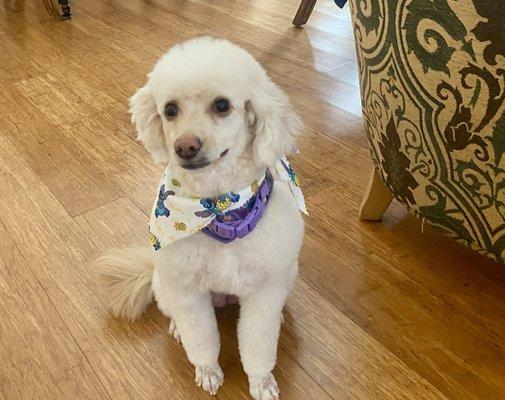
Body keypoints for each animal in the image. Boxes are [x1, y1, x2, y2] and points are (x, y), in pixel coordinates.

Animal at [96, 37, 306, 400]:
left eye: (222, 105)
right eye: (170, 110)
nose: (185, 146)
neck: (221, 207)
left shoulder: (264, 290)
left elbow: (259, 343)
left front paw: (261, 381)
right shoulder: (188, 292)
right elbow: (202, 339)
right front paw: (208, 371)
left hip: (286, 278)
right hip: (165, 286)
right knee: (175, 314)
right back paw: (176, 328)